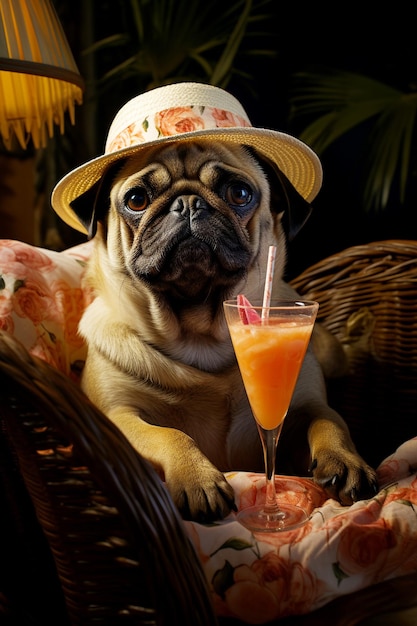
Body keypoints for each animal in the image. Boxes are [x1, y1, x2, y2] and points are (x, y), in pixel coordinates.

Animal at [68, 138, 376, 520]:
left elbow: (330, 421)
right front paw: (198, 479)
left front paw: (346, 461)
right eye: (136, 199)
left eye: (239, 193)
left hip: (332, 355)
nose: (187, 203)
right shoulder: (118, 416)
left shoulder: (304, 403)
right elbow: (169, 435)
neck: (201, 339)